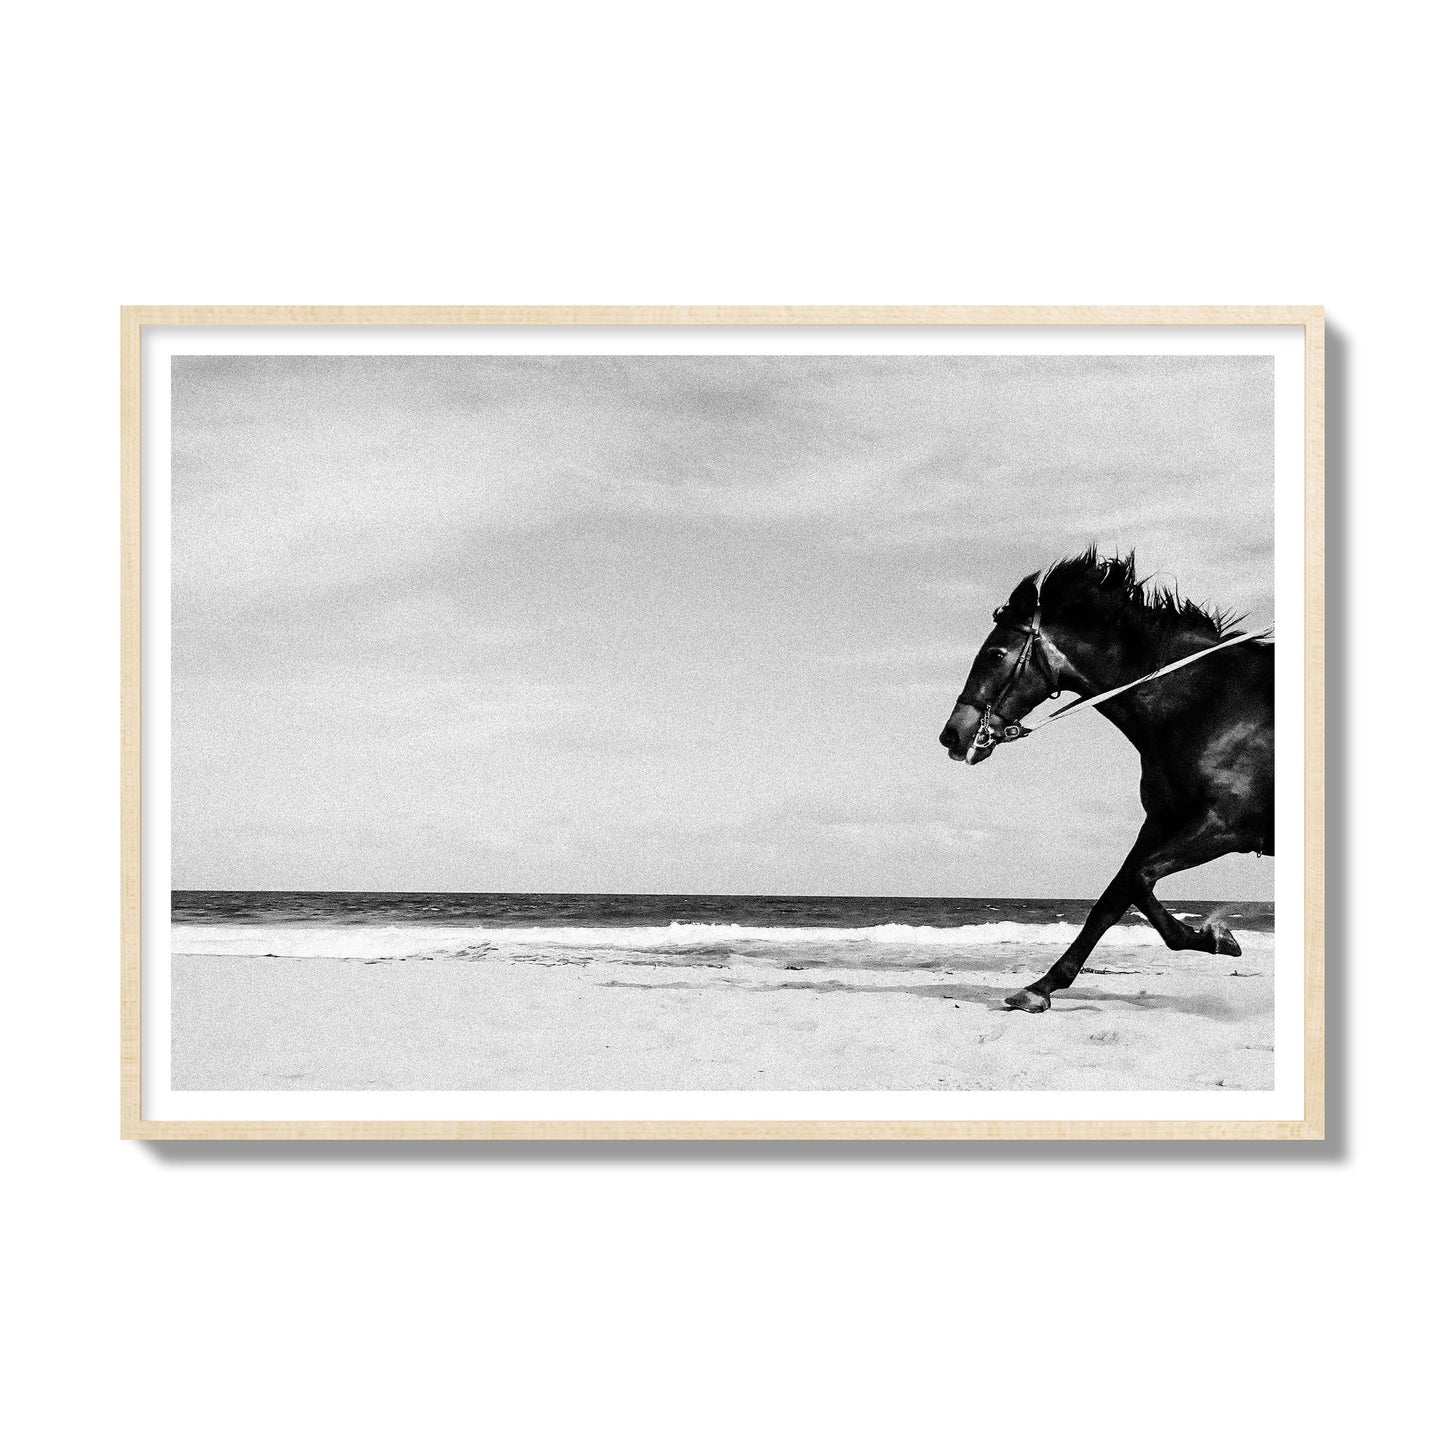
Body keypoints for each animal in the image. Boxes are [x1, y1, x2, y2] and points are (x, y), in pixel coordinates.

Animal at [937, 549, 1274, 1013]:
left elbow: (1137, 880)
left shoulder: (1226, 826)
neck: (1207, 704)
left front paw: (1215, 936)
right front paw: (1040, 986)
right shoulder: (1163, 821)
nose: (953, 734)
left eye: (996, 653)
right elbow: (1114, 897)